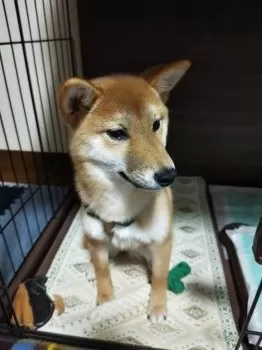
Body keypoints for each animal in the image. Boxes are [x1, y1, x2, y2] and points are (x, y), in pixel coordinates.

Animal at [58, 60, 190, 322]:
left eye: (156, 124)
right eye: (117, 133)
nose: (168, 175)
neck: (119, 207)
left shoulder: (161, 242)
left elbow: (159, 277)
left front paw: (157, 306)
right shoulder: (97, 238)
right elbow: (103, 271)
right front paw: (106, 300)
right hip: (92, 236)